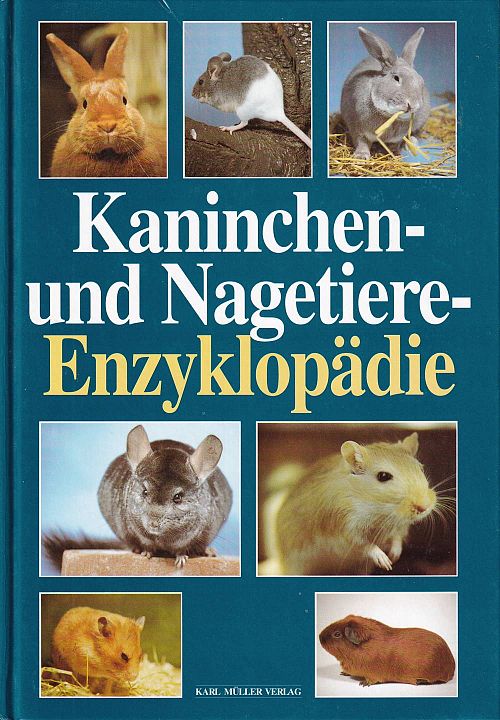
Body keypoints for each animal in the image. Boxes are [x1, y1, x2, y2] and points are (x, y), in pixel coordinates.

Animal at [340, 26, 430, 159]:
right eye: (396, 78)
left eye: (421, 81)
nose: (413, 105)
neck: (388, 115)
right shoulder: (357, 127)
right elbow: (361, 142)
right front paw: (361, 156)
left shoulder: (397, 137)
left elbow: (395, 143)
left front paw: (393, 153)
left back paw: (412, 144)